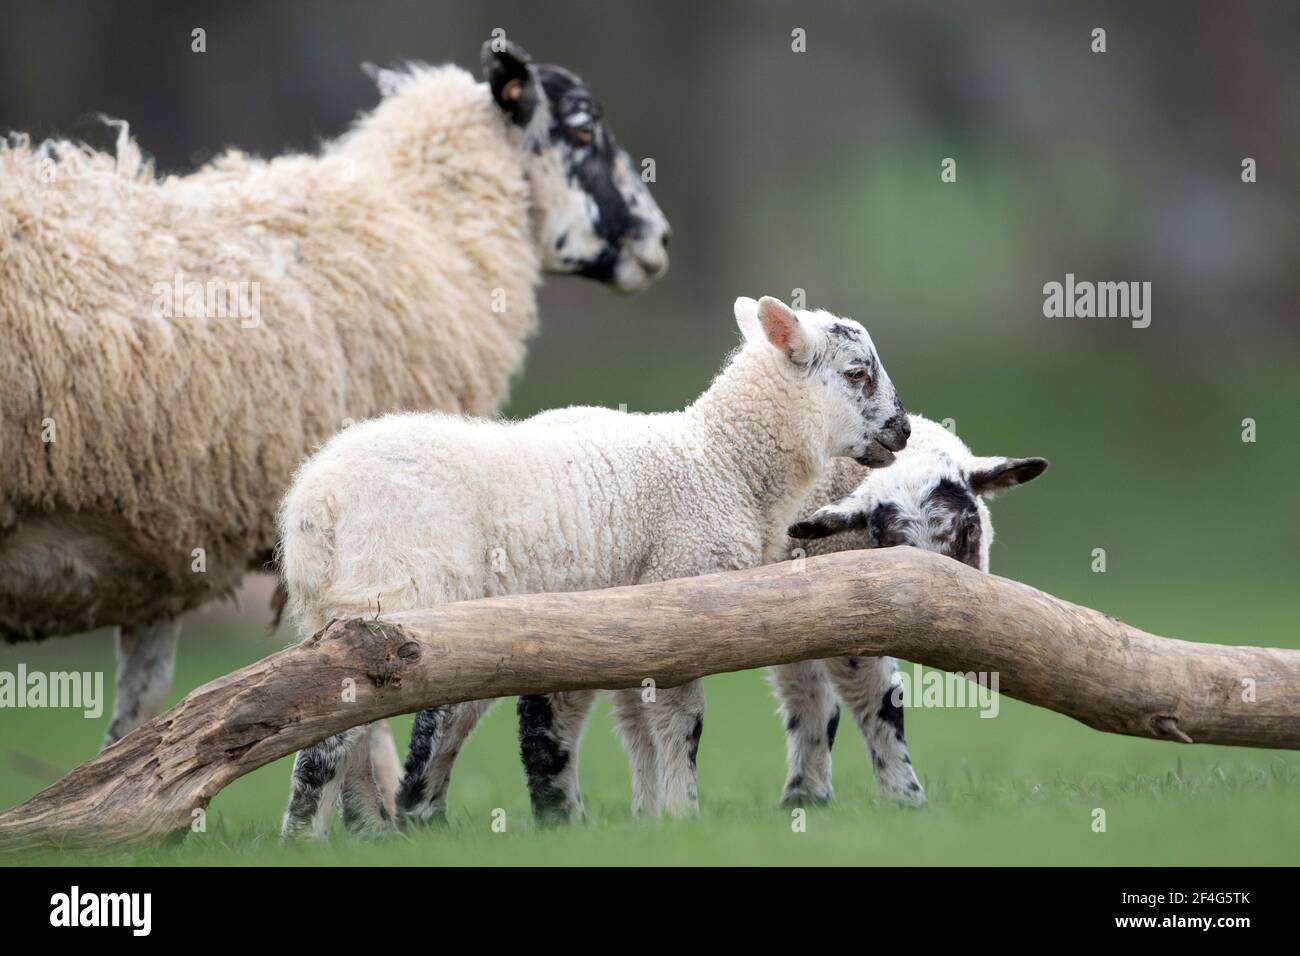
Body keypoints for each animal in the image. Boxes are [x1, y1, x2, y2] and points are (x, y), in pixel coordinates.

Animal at [277, 295, 912, 837]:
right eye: (857, 373)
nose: (903, 431)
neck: (721, 460)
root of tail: (315, 501)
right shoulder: (679, 591)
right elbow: (682, 721)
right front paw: (684, 812)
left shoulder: (633, 626)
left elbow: (638, 726)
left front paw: (651, 816)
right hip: (391, 592)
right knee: (342, 724)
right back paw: (304, 837)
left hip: (331, 611)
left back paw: (367, 829)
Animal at [775, 414, 1047, 807]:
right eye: (890, 547)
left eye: (970, 528)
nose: (942, 620)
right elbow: (878, 701)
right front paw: (902, 797)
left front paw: (808, 795)